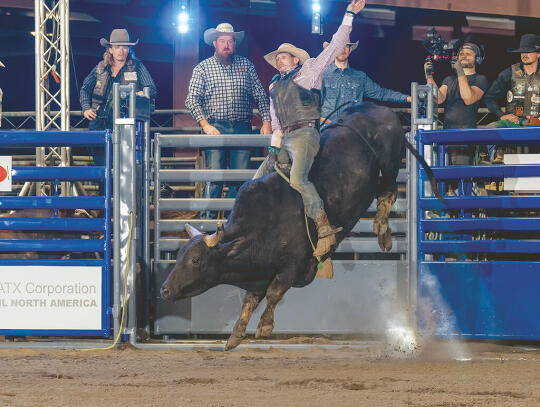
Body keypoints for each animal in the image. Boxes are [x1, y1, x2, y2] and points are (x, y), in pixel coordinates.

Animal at [159, 103, 438, 350]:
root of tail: (380, 109)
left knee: (388, 191)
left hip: (390, 163)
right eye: (178, 255)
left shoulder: (293, 263)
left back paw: (381, 230)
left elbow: (274, 292)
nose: (164, 289)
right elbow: (250, 300)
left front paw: (265, 326)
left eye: (196, 260)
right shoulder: (260, 274)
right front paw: (236, 335)